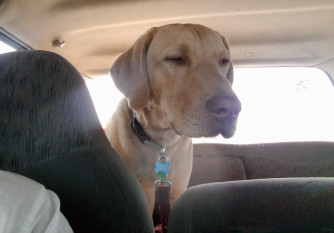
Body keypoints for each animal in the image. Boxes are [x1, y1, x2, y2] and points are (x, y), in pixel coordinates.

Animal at [104, 24, 240, 213]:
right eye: (176, 59)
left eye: (224, 61)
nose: (231, 108)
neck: (161, 142)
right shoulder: (145, 193)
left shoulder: (176, 191)